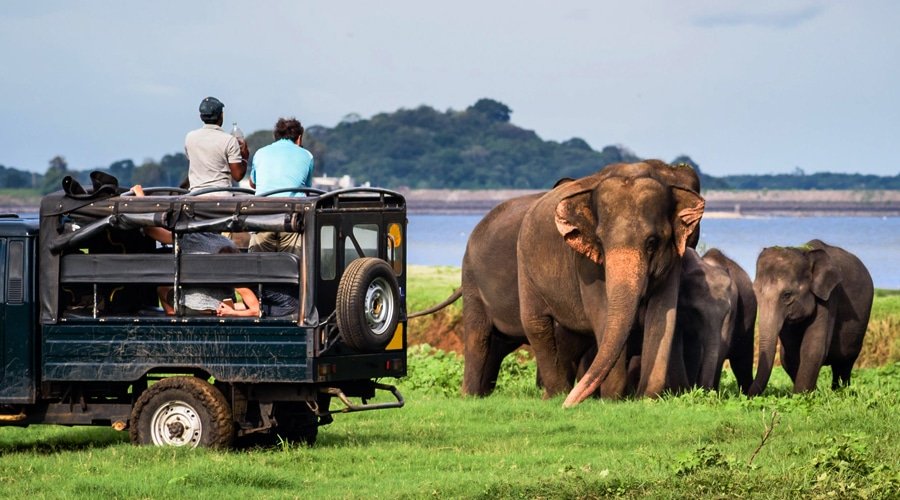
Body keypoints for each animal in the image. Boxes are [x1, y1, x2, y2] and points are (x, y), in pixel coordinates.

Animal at [516, 160, 708, 406]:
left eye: (652, 242)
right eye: (600, 241)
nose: (568, 406)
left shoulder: (673, 258)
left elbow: (663, 314)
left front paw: (646, 398)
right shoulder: (586, 264)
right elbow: (602, 312)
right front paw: (612, 399)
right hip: (525, 266)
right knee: (536, 324)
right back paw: (556, 395)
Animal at [748, 240, 876, 396]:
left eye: (787, 295)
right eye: (754, 292)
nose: (746, 394)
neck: (804, 252)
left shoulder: (829, 296)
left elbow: (813, 348)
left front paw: (802, 396)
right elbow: (789, 355)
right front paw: (810, 393)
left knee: (845, 362)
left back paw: (840, 392)